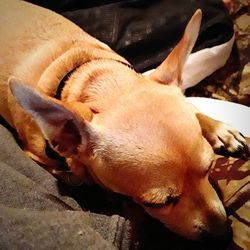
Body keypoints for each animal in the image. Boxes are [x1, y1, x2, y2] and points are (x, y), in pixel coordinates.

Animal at [0, 0, 248, 242]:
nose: (222, 234)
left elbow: (192, 106)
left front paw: (218, 128)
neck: (92, 76)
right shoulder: (42, 159)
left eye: (210, 166)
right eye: (157, 204)